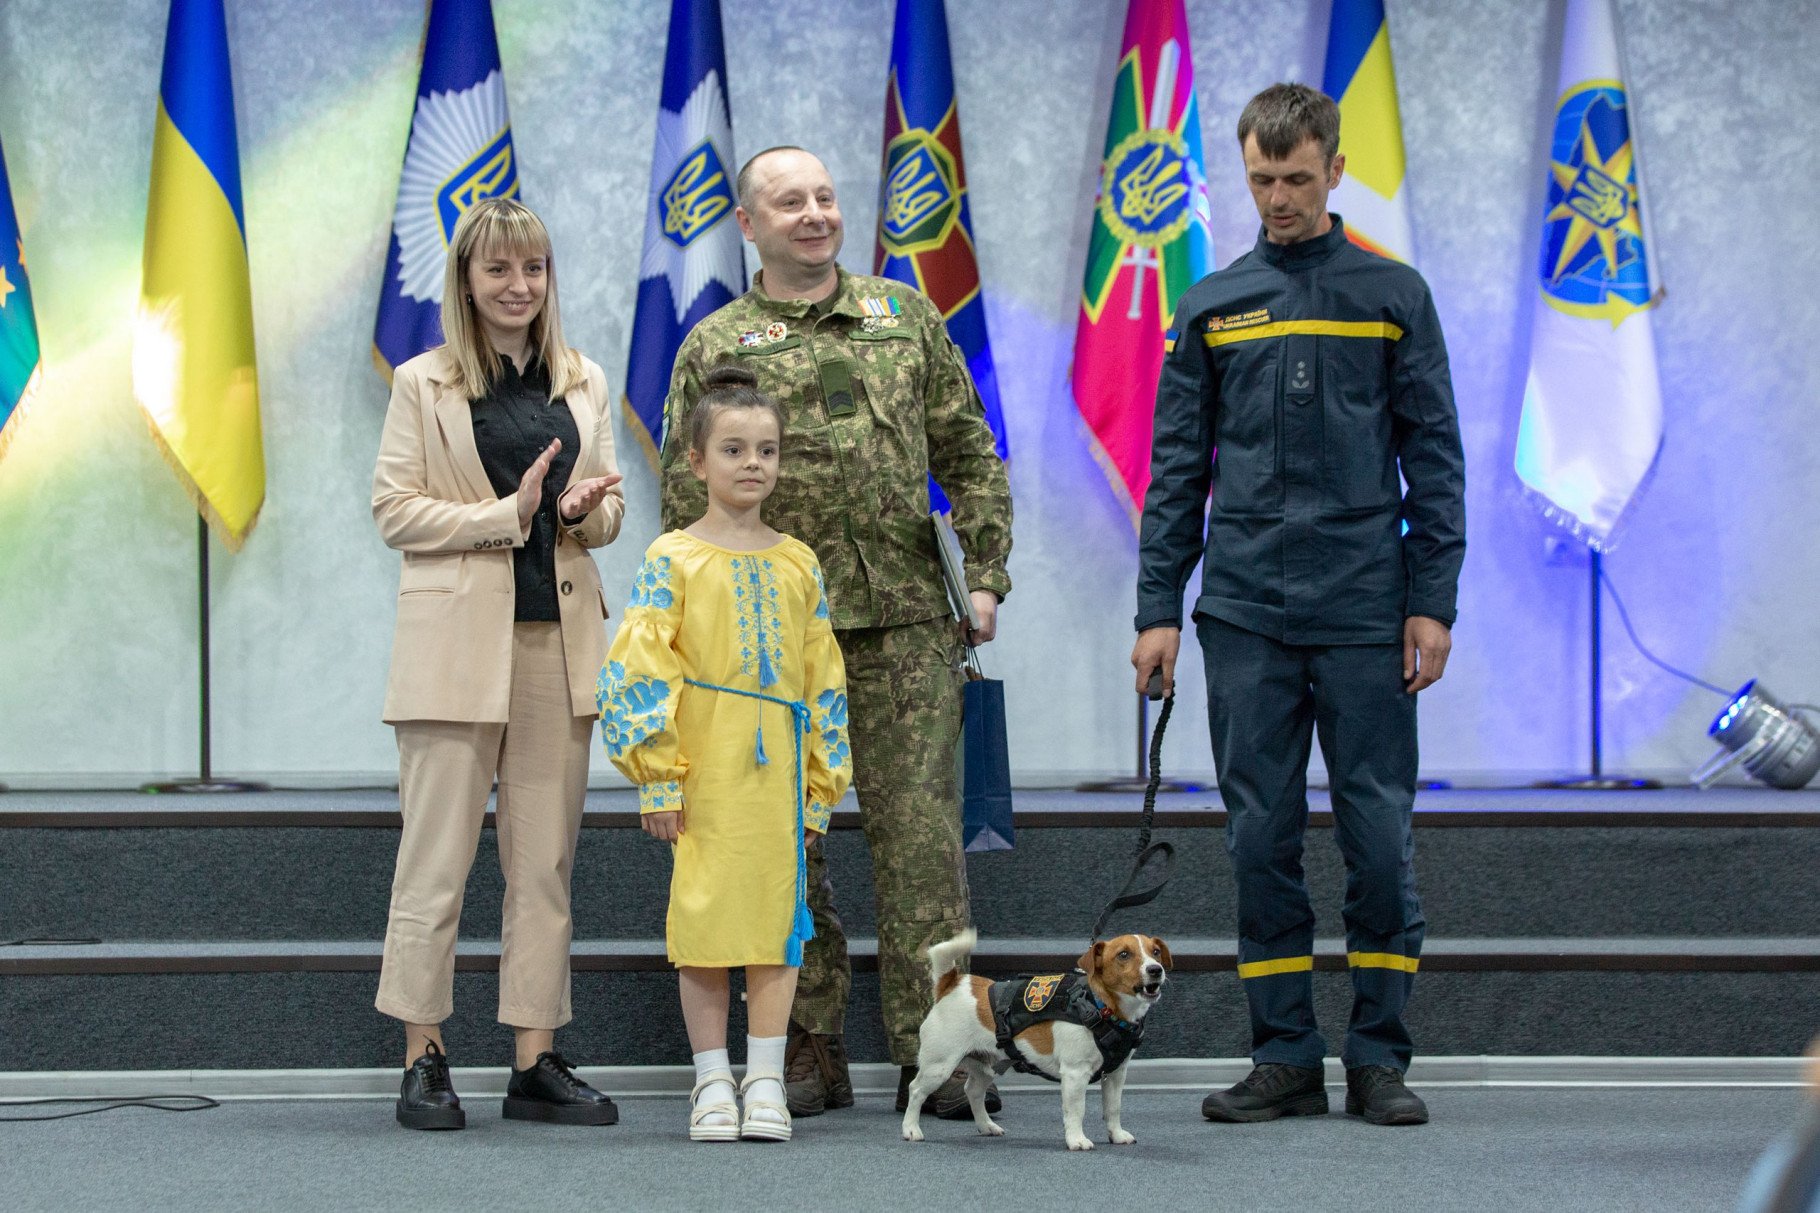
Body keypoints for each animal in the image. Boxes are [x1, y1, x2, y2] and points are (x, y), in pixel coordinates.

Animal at [902, 925, 1172, 1143]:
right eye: (1123, 954)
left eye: (1156, 952)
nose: (1156, 969)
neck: (1101, 1006)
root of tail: (951, 984)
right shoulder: (1075, 1074)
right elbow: (1076, 1111)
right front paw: (1077, 1140)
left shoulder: (1115, 1074)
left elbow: (1113, 1108)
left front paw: (1116, 1135)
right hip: (938, 1066)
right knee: (915, 1090)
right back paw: (911, 1129)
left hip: (986, 1065)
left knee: (973, 1092)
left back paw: (987, 1126)